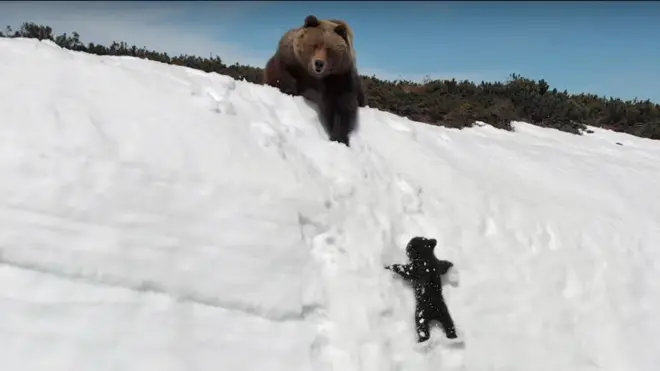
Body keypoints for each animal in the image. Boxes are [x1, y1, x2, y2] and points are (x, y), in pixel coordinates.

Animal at [262, 15, 366, 147]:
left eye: (329, 49)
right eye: (315, 45)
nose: (319, 63)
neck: (314, 76)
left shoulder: (339, 77)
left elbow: (342, 107)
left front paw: (339, 137)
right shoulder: (291, 59)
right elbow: (280, 73)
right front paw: (289, 89)